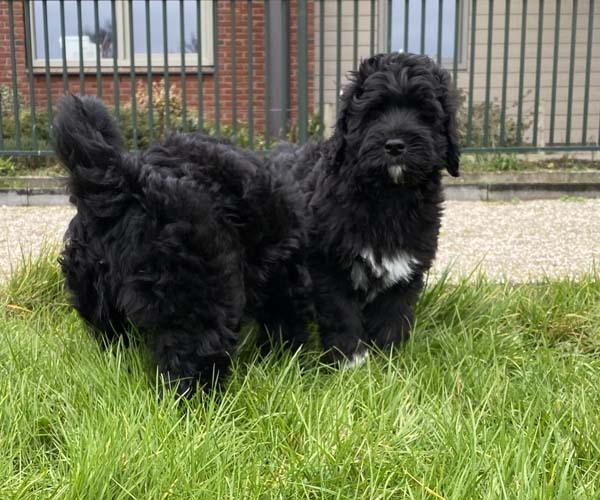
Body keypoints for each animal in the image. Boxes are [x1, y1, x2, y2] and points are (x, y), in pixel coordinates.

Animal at [53, 95, 312, 396]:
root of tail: (127, 182)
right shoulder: (286, 274)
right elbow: (287, 322)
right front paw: (289, 362)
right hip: (200, 295)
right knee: (192, 360)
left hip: (90, 288)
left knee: (111, 334)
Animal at [272, 53, 460, 365]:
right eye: (373, 113)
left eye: (424, 114)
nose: (395, 145)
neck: (388, 197)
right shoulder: (328, 266)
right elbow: (341, 313)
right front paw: (351, 361)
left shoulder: (405, 267)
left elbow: (392, 316)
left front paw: (388, 360)